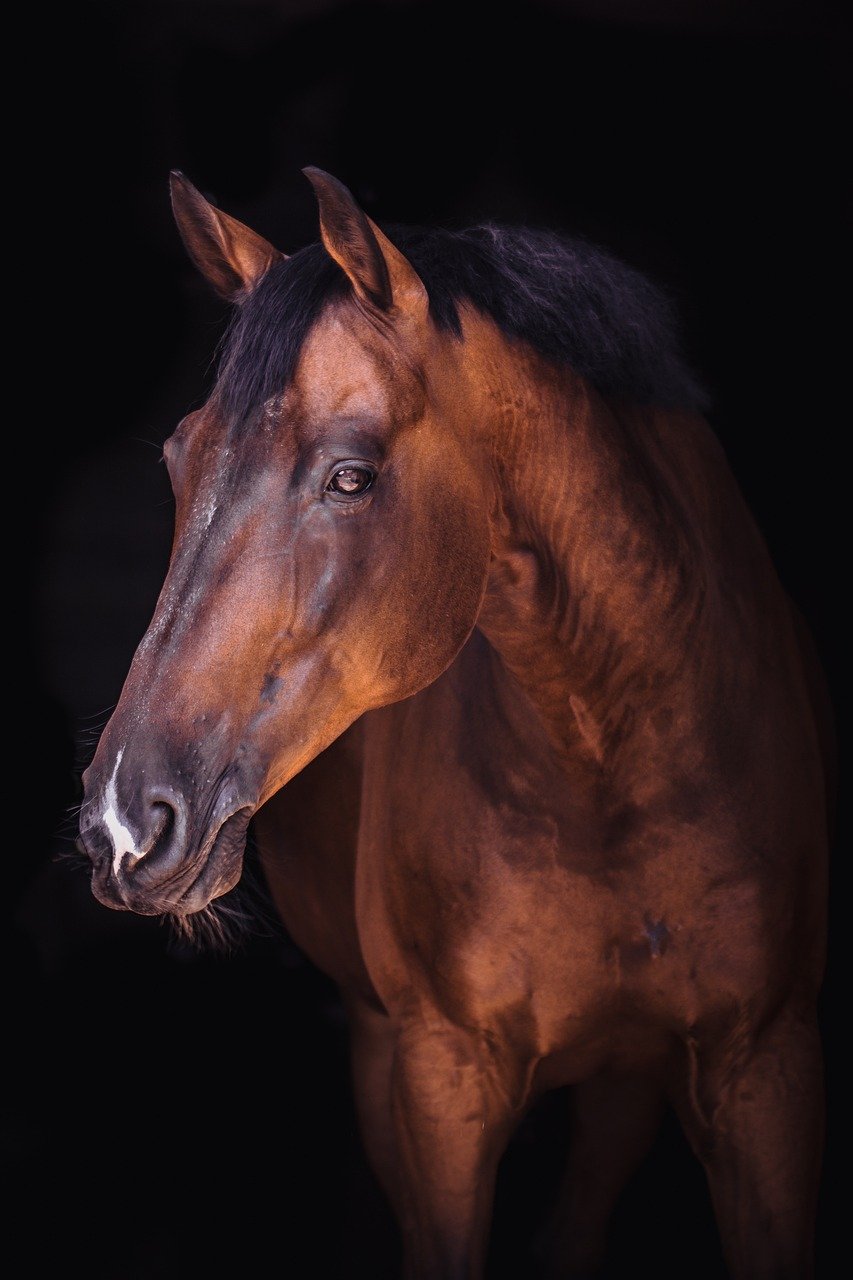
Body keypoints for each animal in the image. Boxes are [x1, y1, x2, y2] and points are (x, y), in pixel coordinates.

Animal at [77, 166, 831, 1279]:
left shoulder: (765, 1071)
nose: (126, 823)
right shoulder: (441, 1081)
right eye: (179, 459)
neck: (618, 758)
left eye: (351, 474)